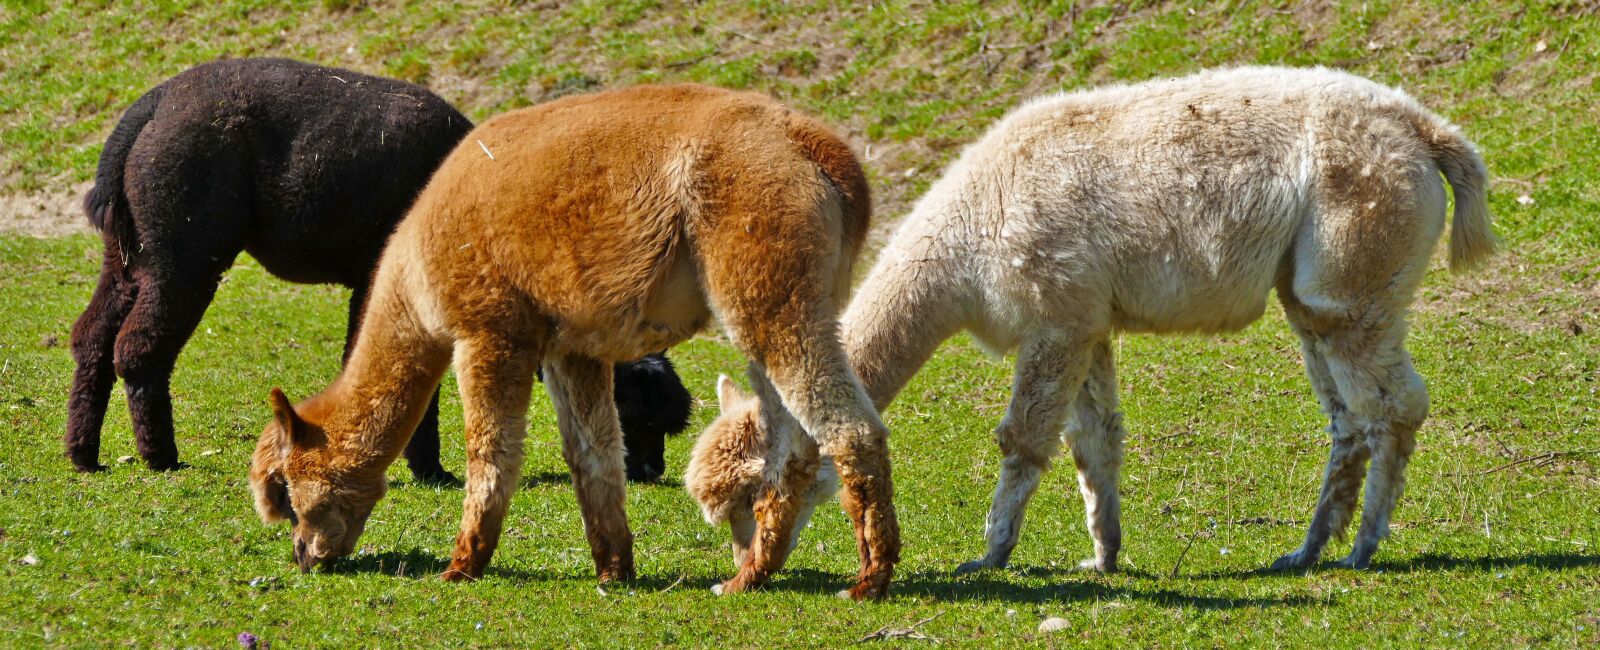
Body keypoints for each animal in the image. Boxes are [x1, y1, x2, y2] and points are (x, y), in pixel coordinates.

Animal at [248, 84, 901, 600]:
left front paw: (462, 567)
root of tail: (832, 161)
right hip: (796, 294)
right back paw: (752, 575)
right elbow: (594, 455)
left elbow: (491, 452)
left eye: (288, 494)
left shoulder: (491, 329)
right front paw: (614, 569)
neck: (414, 280)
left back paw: (867, 581)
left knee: (852, 428)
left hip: (767, 279)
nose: (303, 555)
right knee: (795, 446)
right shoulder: (572, 346)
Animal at [687, 66, 1498, 578]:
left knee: (1395, 404)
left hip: (1355, 274)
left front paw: (989, 557)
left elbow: (1022, 439)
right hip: (1315, 293)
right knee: (1348, 417)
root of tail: (1424, 128)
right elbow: (1095, 441)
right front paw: (1104, 554)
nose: (749, 566)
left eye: (757, 494)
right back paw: (1308, 550)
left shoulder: (1056, 316)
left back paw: (1363, 547)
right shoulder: (1087, 320)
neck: (968, 238)